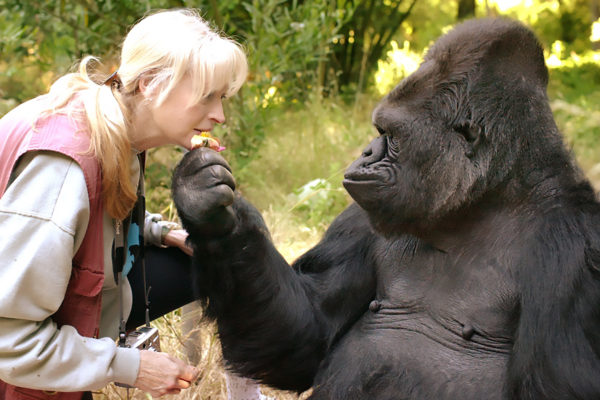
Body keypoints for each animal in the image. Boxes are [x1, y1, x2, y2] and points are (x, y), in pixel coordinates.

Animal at [171, 18, 600, 400]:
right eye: (379, 131)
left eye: (390, 136)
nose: (365, 153)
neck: (482, 202)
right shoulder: (360, 218)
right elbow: (307, 333)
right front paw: (210, 213)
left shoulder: (576, 251)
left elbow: (559, 386)